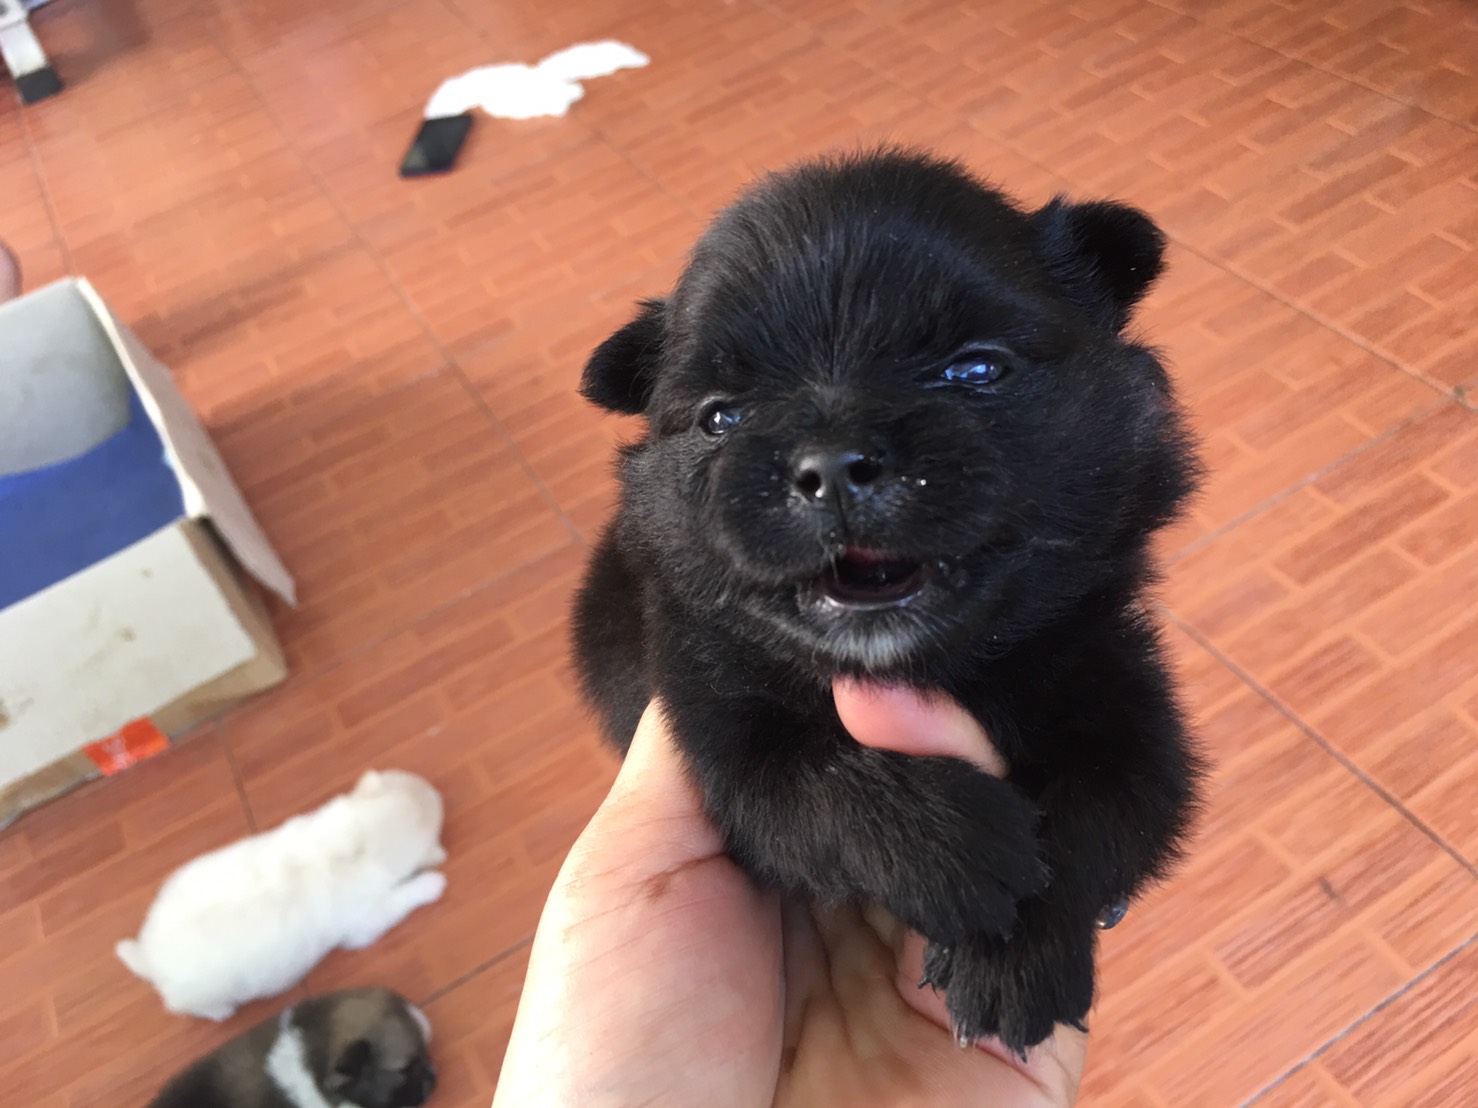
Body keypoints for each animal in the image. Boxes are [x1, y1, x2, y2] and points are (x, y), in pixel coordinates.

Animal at [118, 770, 448, 1021]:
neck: (358, 841)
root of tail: (148, 955)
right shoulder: (366, 922)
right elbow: (401, 898)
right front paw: (431, 883)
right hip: (198, 993)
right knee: (181, 1005)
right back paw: (220, 1011)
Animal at [571, 149, 1204, 1055]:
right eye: (721, 418)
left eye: (976, 370)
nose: (832, 465)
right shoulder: (711, 716)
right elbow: (801, 786)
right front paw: (948, 846)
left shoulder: (1121, 689)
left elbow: (1105, 809)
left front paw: (1020, 953)